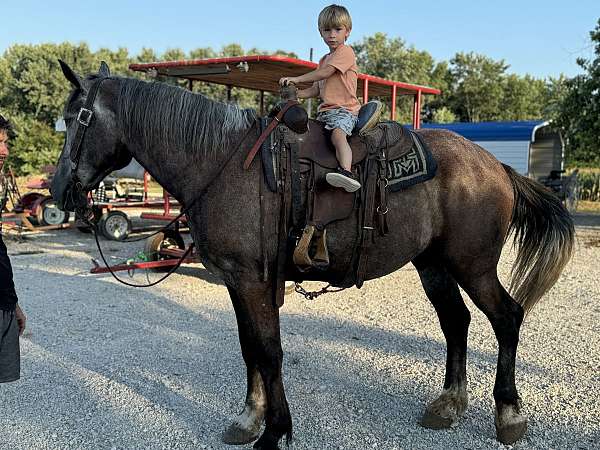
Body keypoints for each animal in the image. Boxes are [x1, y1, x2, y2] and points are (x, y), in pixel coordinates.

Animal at [50, 61, 572, 448]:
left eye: (77, 120)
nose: (58, 189)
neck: (222, 164)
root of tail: (496, 166)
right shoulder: (239, 280)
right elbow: (250, 348)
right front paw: (249, 420)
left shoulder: (253, 280)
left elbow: (269, 351)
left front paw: (275, 432)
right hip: (434, 264)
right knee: (456, 322)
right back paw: (448, 404)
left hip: (473, 264)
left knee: (506, 316)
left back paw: (508, 415)